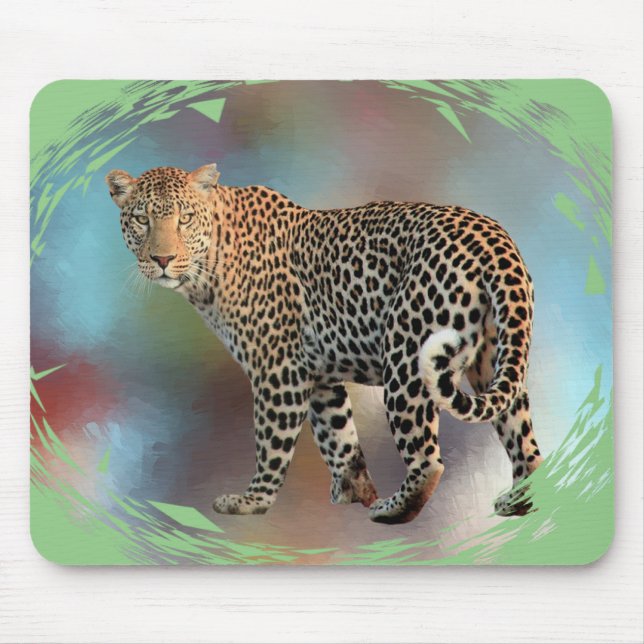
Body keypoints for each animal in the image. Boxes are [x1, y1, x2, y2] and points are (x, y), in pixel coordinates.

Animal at [106, 163, 544, 524]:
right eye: (142, 219)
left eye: (185, 219)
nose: (162, 259)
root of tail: (493, 238)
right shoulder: (318, 375)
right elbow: (339, 437)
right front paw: (352, 492)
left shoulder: (278, 370)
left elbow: (272, 442)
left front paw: (252, 501)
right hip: (496, 357)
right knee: (524, 441)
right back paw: (518, 501)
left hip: (406, 359)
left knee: (428, 460)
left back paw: (392, 510)